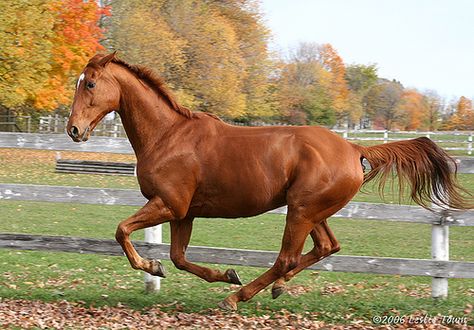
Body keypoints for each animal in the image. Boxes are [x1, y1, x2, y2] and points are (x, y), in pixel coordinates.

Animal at [66, 52, 470, 310]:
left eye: (90, 84)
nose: (74, 130)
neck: (168, 135)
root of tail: (354, 148)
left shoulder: (168, 205)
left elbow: (122, 230)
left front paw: (155, 268)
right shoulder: (184, 213)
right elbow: (178, 258)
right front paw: (222, 272)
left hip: (301, 211)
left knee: (287, 257)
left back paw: (237, 297)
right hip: (312, 211)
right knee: (326, 247)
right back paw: (273, 287)